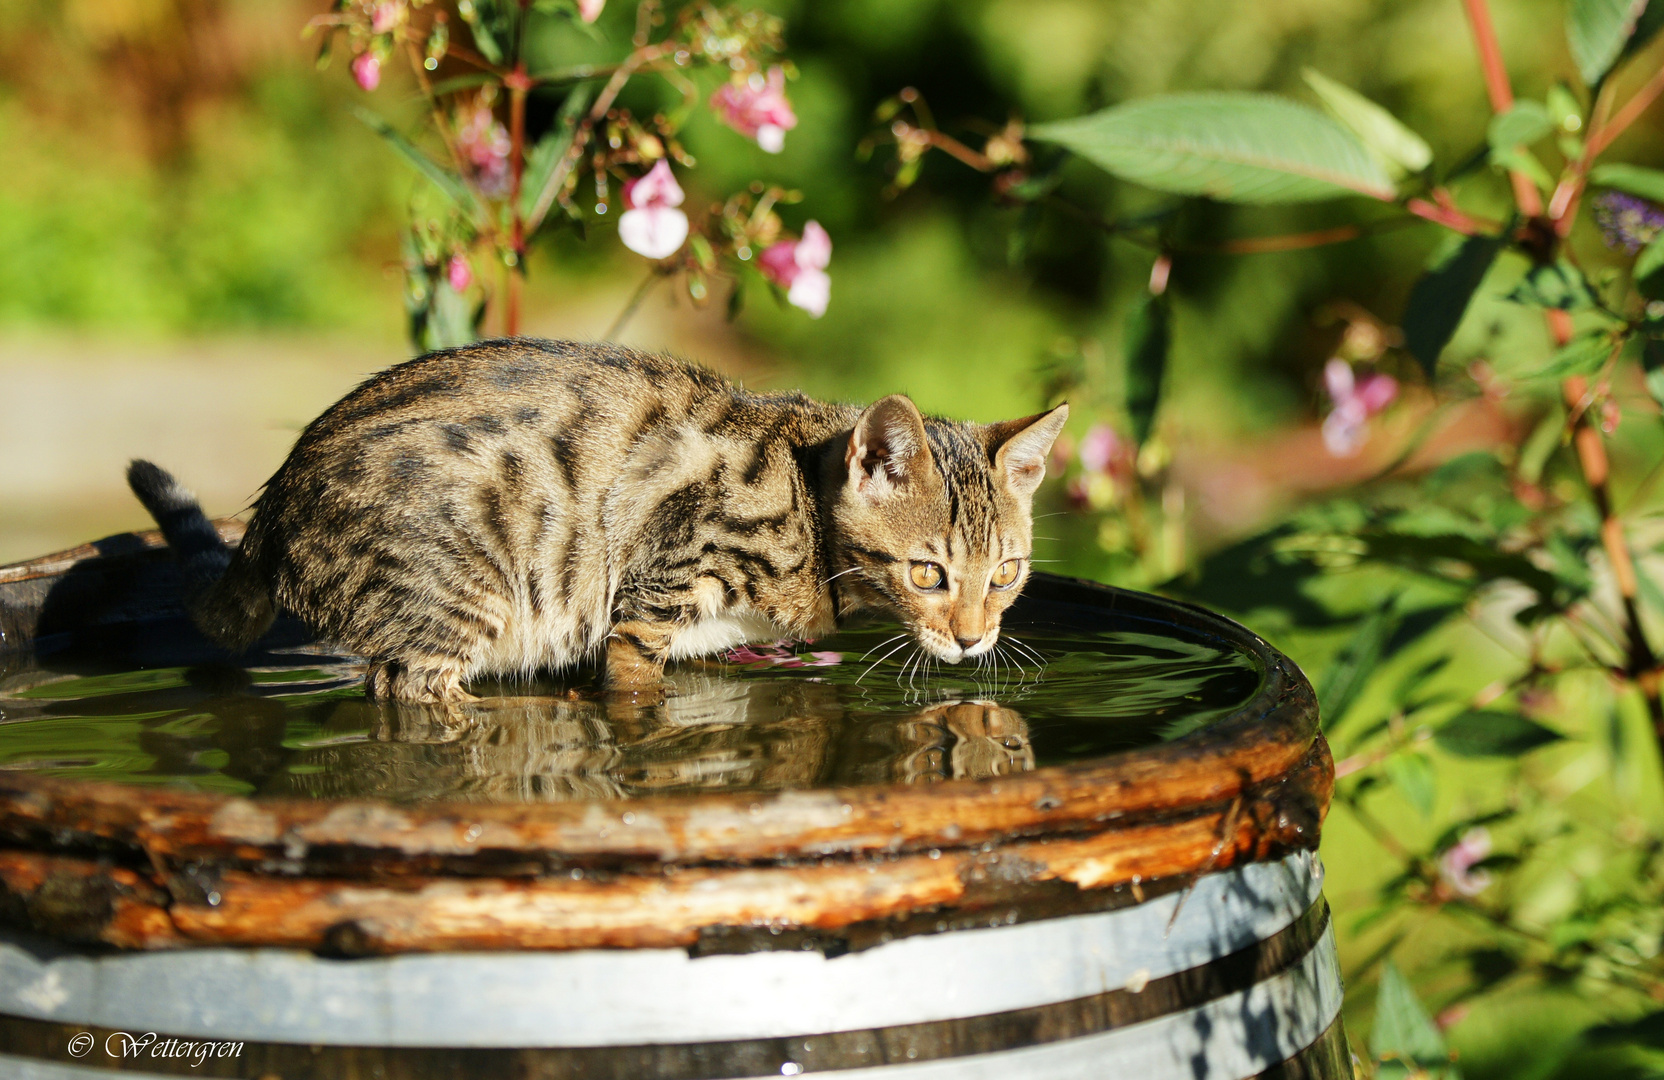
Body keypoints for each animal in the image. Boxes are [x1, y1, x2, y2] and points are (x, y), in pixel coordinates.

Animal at [129, 341, 1064, 702]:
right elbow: (633, 682)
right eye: (927, 573)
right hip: (456, 597)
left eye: (1006, 575)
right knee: (412, 689)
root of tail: (277, 496)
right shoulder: (658, 589)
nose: (975, 639)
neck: (803, 497)